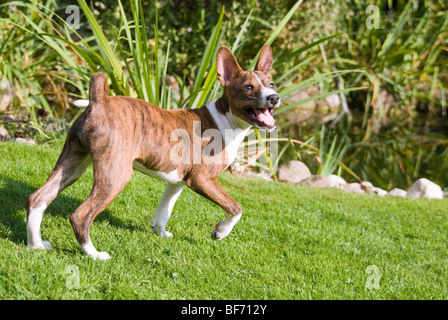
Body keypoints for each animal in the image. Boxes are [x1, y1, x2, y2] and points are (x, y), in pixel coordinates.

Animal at [26, 43, 280, 260]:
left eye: (271, 84)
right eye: (249, 87)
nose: (274, 98)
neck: (226, 120)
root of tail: (98, 102)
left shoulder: (178, 180)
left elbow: (164, 211)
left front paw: (160, 232)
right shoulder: (202, 179)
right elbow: (235, 207)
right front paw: (220, 232)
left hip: (72, 164)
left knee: (37, 199)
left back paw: (36, 245)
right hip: (115, 175)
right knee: (80, 216)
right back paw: (94, 254)